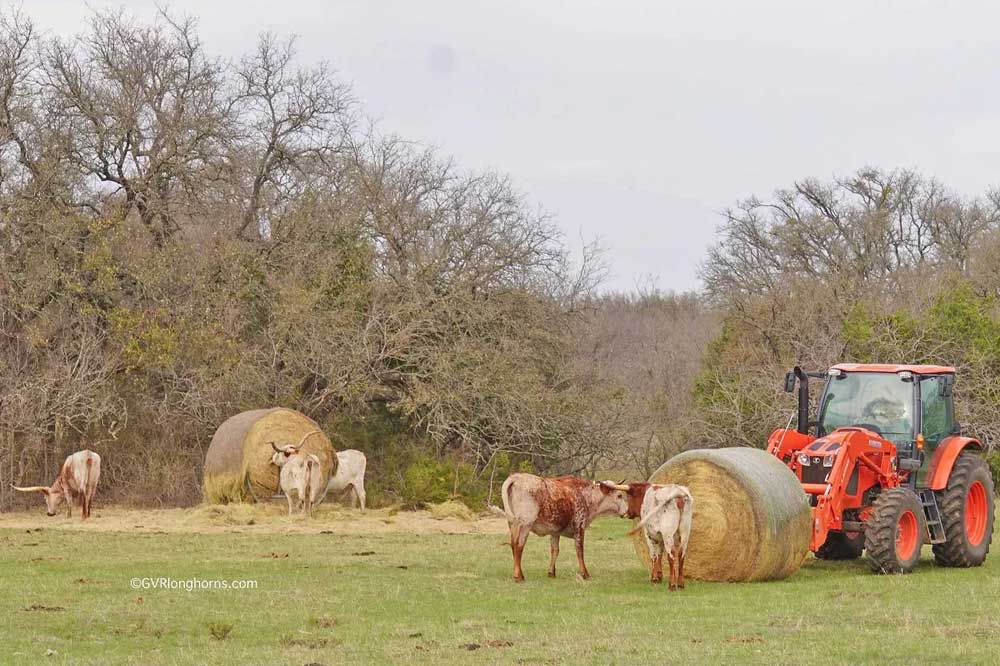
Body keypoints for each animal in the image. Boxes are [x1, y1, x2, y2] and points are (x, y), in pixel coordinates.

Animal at [490, 474, 628, 580]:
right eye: (619, 495)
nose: (627, 511)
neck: (586, 495)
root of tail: (517, 476)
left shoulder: (555, 531)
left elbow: (555, 550)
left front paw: (551, 572)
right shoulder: (579, 526)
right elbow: (580, 551)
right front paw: (585, 573)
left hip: (513, 525)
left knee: (513, 545)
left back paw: (520, 573)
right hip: (525, 524)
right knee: (519, 546)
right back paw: (518, 576)